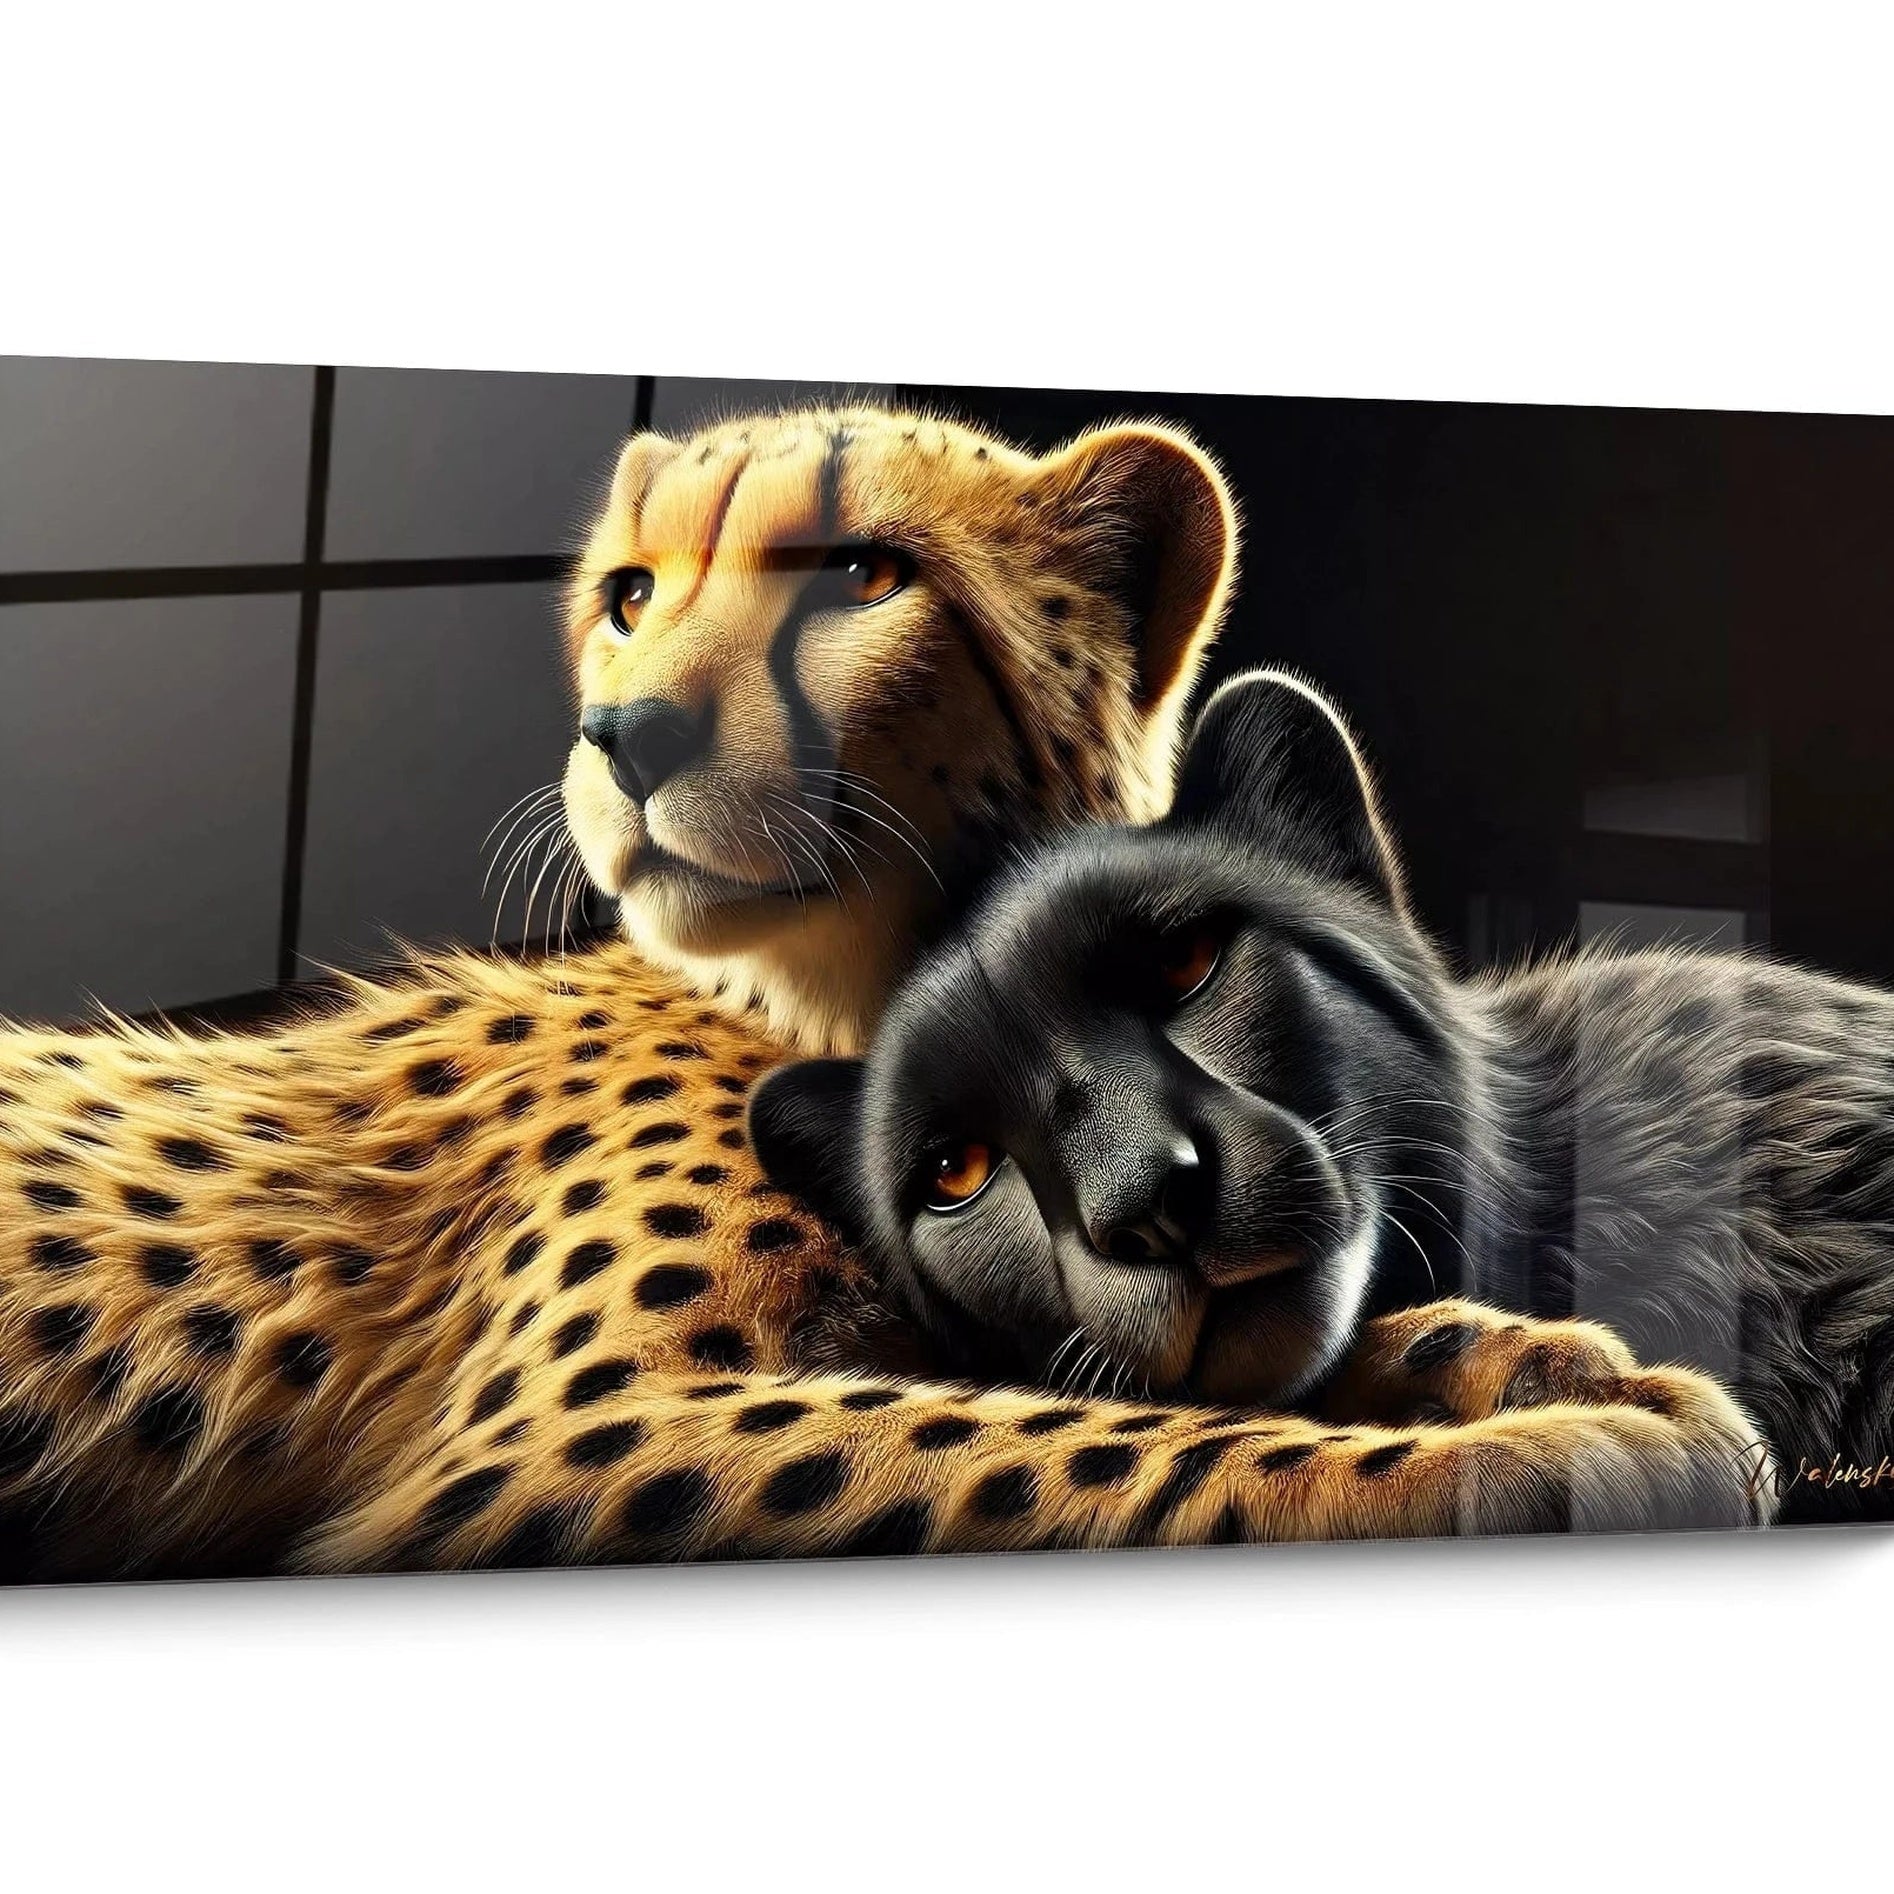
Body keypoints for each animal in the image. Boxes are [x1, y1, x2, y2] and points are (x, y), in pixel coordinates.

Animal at [0, 404, 1763, 1581]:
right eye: (628, 595)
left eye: (859, 572)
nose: (621, 734)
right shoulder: (559, 1434)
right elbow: (1091, 1441)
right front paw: (1560, 1441)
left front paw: (1542, 1362)